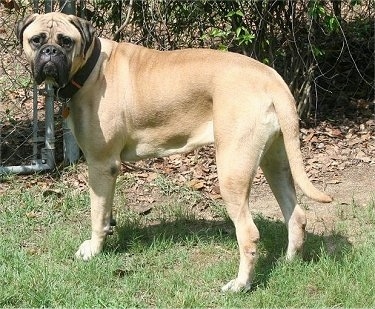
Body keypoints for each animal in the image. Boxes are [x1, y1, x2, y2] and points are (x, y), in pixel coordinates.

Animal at [16, 12, 332, 292]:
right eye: (36, 39)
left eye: (66, 41)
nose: (49, 52)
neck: (91, 68)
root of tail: (272, 79)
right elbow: (105, 210)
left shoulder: (101, 164)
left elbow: (96, 213)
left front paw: (94, 249)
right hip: (275, 160)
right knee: (296, 214)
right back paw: (289, 263)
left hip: (233, 169)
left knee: (249, 233)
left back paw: (240, 284)